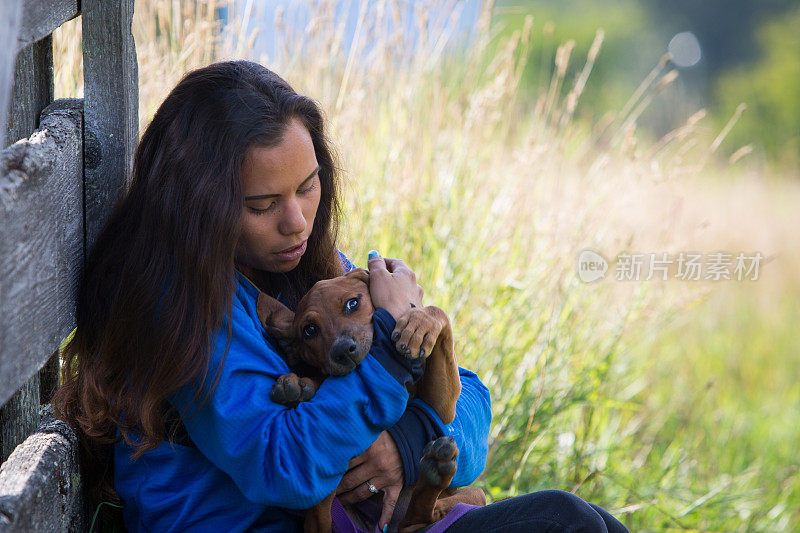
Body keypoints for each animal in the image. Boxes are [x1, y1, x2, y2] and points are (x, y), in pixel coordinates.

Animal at [256, 268, 484, 532]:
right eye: (309, 330)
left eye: (352, 303)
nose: (343, 350)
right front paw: (299, 386)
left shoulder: (442, 408)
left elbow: (438, 312)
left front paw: (420, 323)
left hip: (473, 495)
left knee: (426, 516)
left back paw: (436, 470)